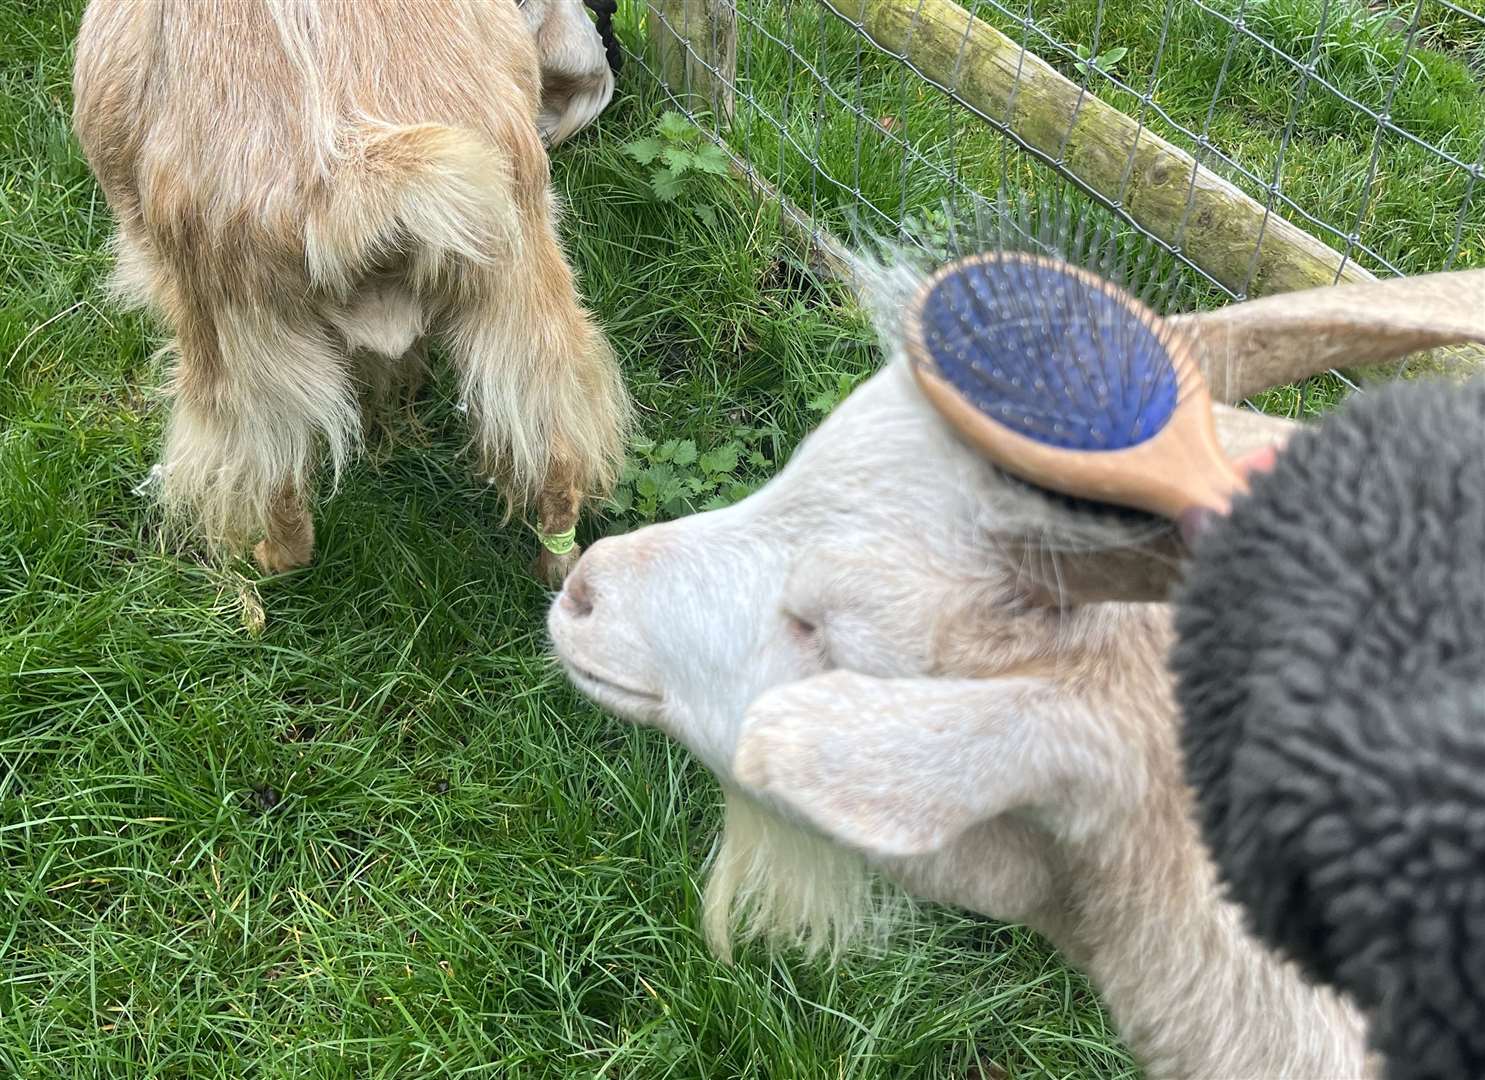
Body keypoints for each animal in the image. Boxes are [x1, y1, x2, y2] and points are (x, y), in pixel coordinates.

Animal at [72, 0, 629, 582]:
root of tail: (352, 161)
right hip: (521, 304)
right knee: (559, 453)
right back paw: (558, 566)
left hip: (241, 350)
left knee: (277, 491)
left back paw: (264, 560)